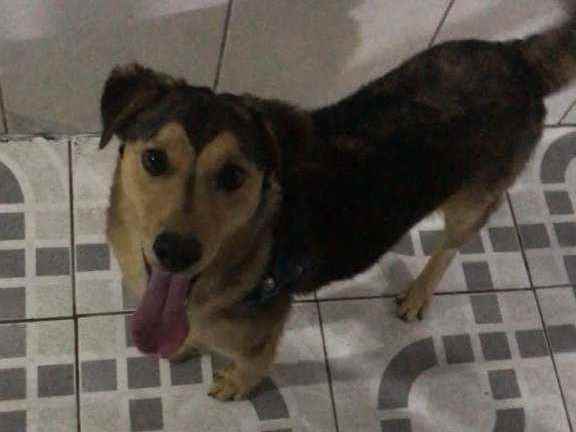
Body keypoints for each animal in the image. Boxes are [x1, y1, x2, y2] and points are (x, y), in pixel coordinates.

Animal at [99, 11, 576, 400]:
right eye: (154, 159)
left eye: (233, 176)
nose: (176, 251)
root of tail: (518, 58)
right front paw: (184, 344)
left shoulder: (259, 337)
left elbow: (252, 365)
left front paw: (235, 383)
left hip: (471, 203)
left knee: (450, 247)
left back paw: (418, 293)